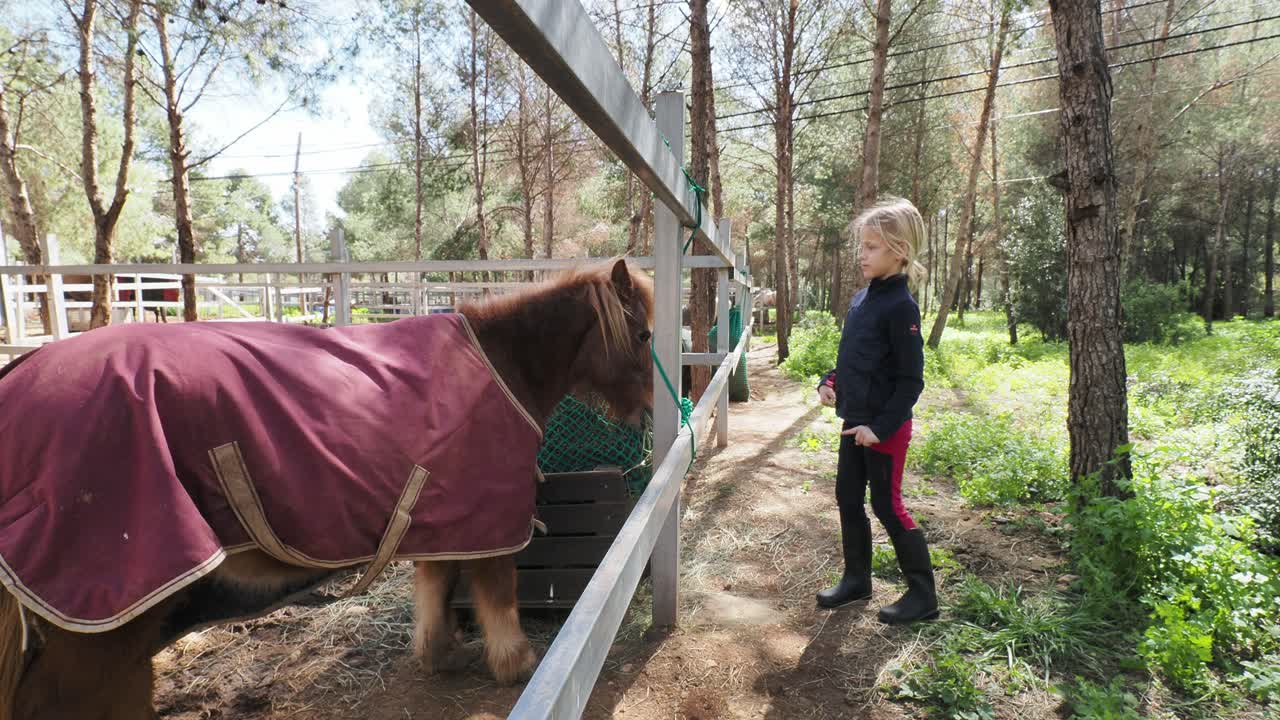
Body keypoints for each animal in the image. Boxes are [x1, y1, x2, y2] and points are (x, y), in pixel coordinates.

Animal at [0, 258, 654, 719]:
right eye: (645, 336)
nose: (650, 413)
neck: (496, 363)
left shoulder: (445, 517)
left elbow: (436, 588)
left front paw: (440, 654)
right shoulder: (487, 523)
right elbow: (496, 596)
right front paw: (515, 664)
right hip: (103, 634)